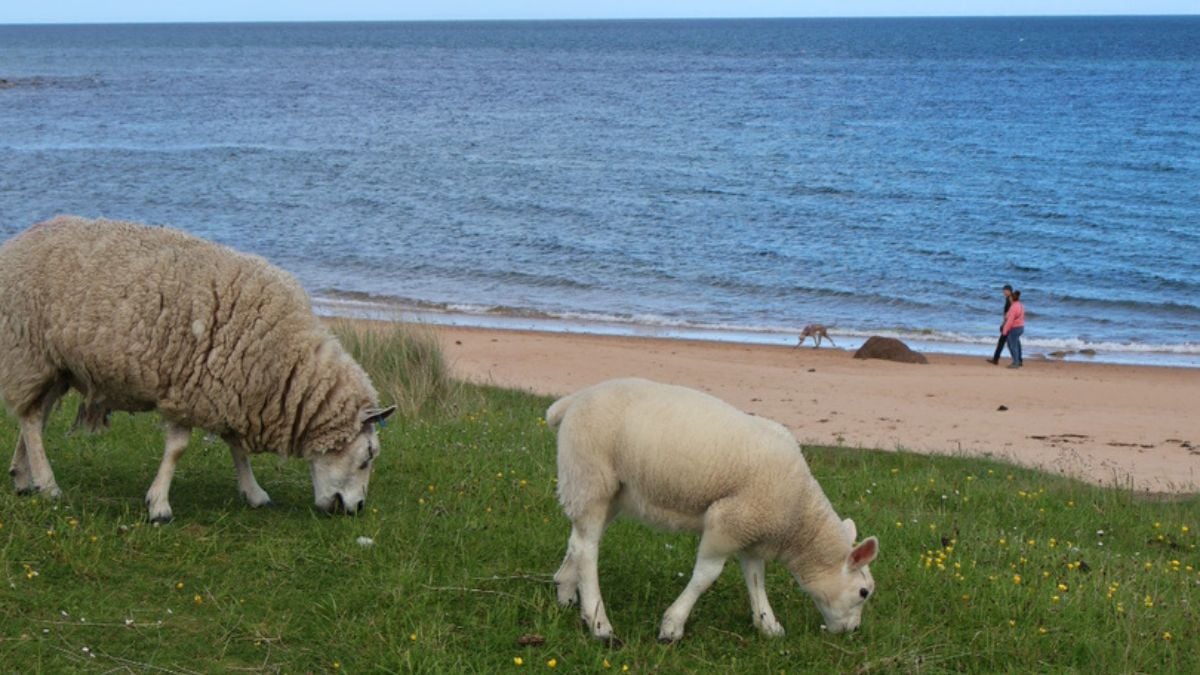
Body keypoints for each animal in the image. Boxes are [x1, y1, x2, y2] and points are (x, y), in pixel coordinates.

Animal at [0, 216, 395, 522]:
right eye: (368, 456)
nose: (356, 508)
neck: (285, 363)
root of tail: (16, 242)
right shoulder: (189, 389)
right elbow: (178, 449)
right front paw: (159, 505)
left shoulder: (231, 389)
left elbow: (237, 448)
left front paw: (253, 492)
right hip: (28, 352)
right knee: (32, 419)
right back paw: (48, 484)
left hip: (54, 365)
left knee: (35, 417)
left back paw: (22, 476)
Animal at [546, 377, 879, 643]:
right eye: (864, 592)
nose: (854, 632)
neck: (799, 519)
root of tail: (574, 399)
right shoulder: (729, 521)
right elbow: (706, 575)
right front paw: (672, 626)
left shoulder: (753, 530)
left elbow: (755, 579)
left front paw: (767, 625)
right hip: (590, 476)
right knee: (587, 548)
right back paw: (599, 623)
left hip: (609, 491)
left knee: (579, 540)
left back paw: (566, 591)